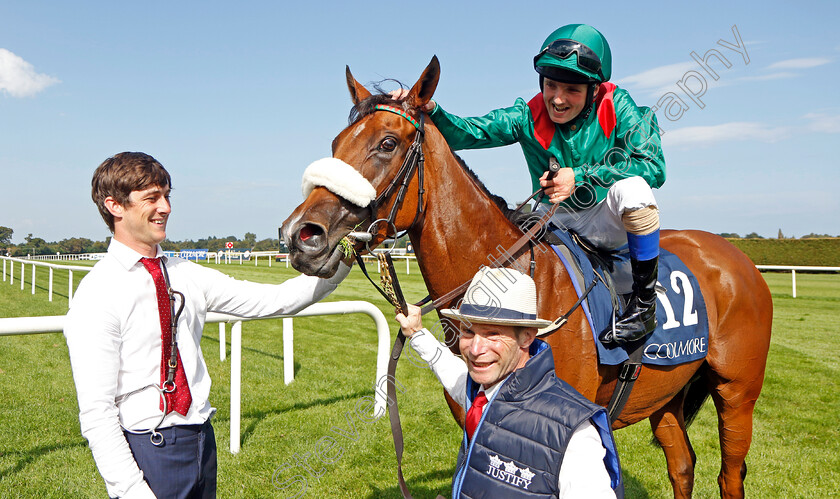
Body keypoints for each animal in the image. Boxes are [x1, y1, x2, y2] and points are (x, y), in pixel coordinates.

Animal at [284, 56, 776, 498]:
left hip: (738, 393)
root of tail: (737, 257)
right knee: (682, 466)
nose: (300, 235)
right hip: (668, 394)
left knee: (729, 476)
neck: (513, 287)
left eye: (387, 143)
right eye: (336, 143)